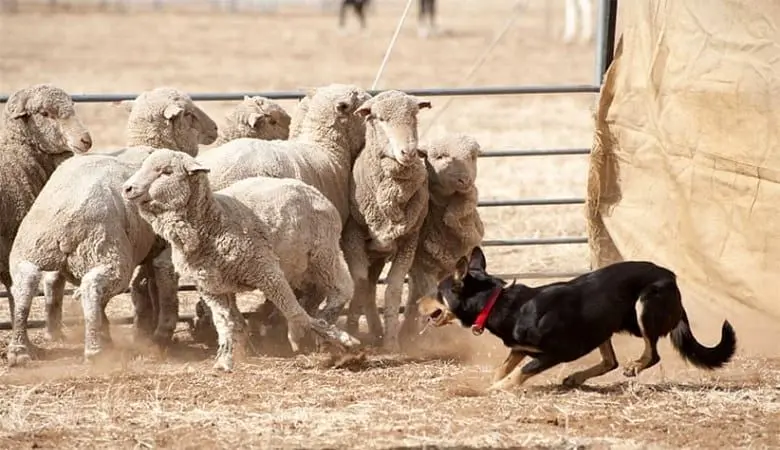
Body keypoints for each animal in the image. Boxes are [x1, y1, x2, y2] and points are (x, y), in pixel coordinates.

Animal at [123, 149, 362, 370]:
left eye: (166, 171)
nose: (127, 188)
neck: (214, 222)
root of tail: (309, 189)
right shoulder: (213, 288)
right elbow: (226, 323)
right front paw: (225, 358)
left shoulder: (267, 272)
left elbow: (294, 311)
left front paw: (334, 338)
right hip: (298, 265)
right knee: (316, 291)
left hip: (324, 253)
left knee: (342, 289)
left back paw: (327, 323)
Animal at [342, 90, 432, 352]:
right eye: (380, 119)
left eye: (414, 116)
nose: (409, 152)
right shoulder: (351, 237)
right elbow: (360, 283)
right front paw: (351, 332)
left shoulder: (409, 241)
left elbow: (393, 289)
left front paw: (391, 343)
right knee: (368, 286)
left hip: (379, 252)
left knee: (374, 286)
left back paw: (378, 331)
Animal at [418, 246, 736, 390]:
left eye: (436, 291)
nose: (419, 302)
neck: (498, 302)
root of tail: (671, 278)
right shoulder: (520, 348)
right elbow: (503, 367)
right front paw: (492, 383)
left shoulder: (555, 352)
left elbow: (520, 372)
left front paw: (498, 389)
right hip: (603, 324)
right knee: (610, 361)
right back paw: (575, 378)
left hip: (644, 307)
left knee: (651, 353)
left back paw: (634, 366)